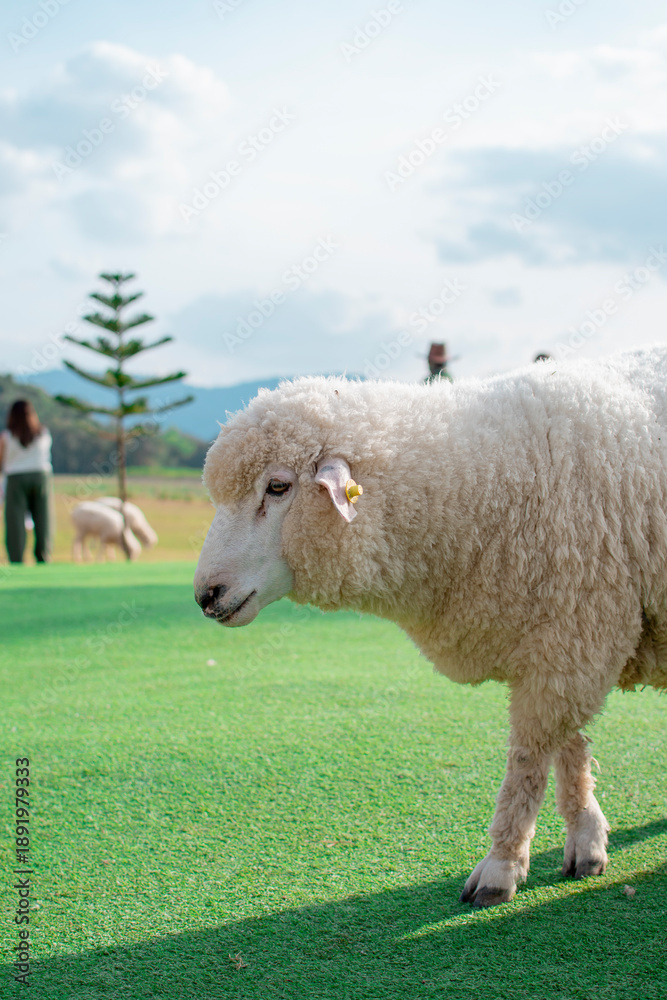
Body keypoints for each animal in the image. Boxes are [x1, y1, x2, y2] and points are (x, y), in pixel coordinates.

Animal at [193, 345, 667, 908]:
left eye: (278, 486)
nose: (205, 596)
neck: (479, 485)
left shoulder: (573, 632)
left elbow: (529, 759)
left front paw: (501, 866)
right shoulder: (560, 638)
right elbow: (569, 747)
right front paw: (586, 840)